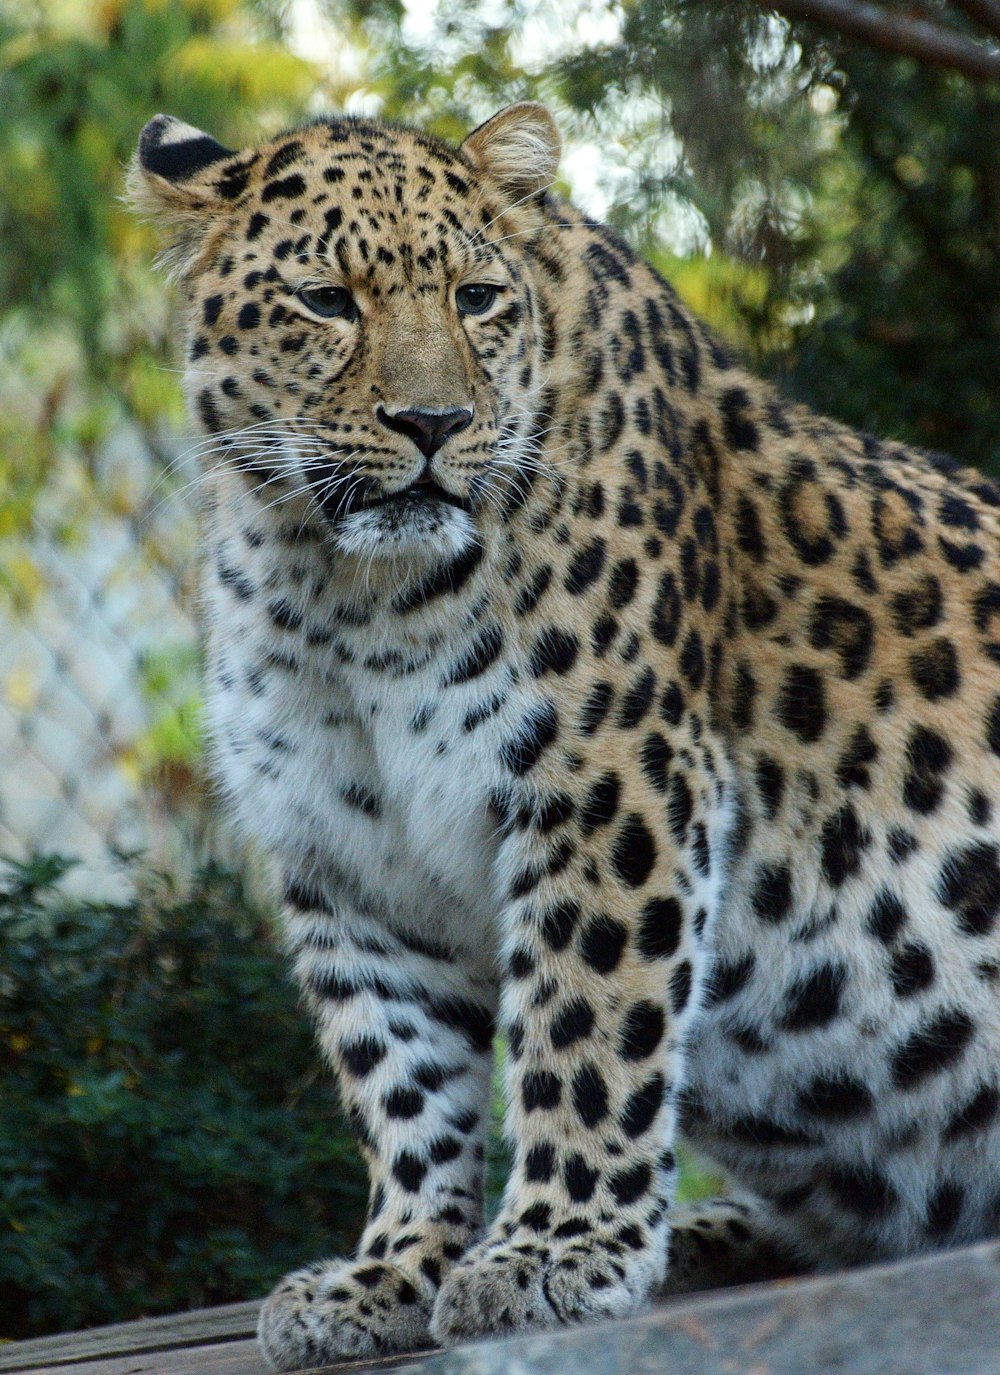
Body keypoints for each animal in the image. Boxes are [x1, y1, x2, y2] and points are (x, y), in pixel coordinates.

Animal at [129, 101, 1000, 1369]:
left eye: (478, 297)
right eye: (327, 301)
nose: (432, 423)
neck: (346, 592)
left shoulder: (609, 777)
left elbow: (585, 1029)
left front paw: (551, 1250)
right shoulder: (345, 853)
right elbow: (400, 1078)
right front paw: (390, 1272)